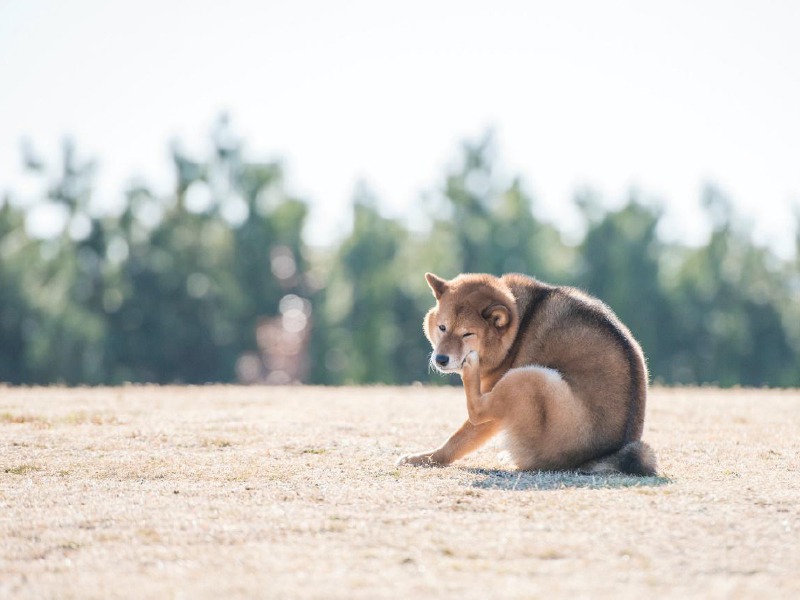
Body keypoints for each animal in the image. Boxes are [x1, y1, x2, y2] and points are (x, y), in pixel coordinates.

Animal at [396, 274, 660, 478]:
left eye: (467, 334)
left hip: (531, 378)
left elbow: (457, 440)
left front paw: (424, 458)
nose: (440, 359)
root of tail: (602, 456)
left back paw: (470, 371)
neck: (519, 326)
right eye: (442, 327)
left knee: (477, 410)